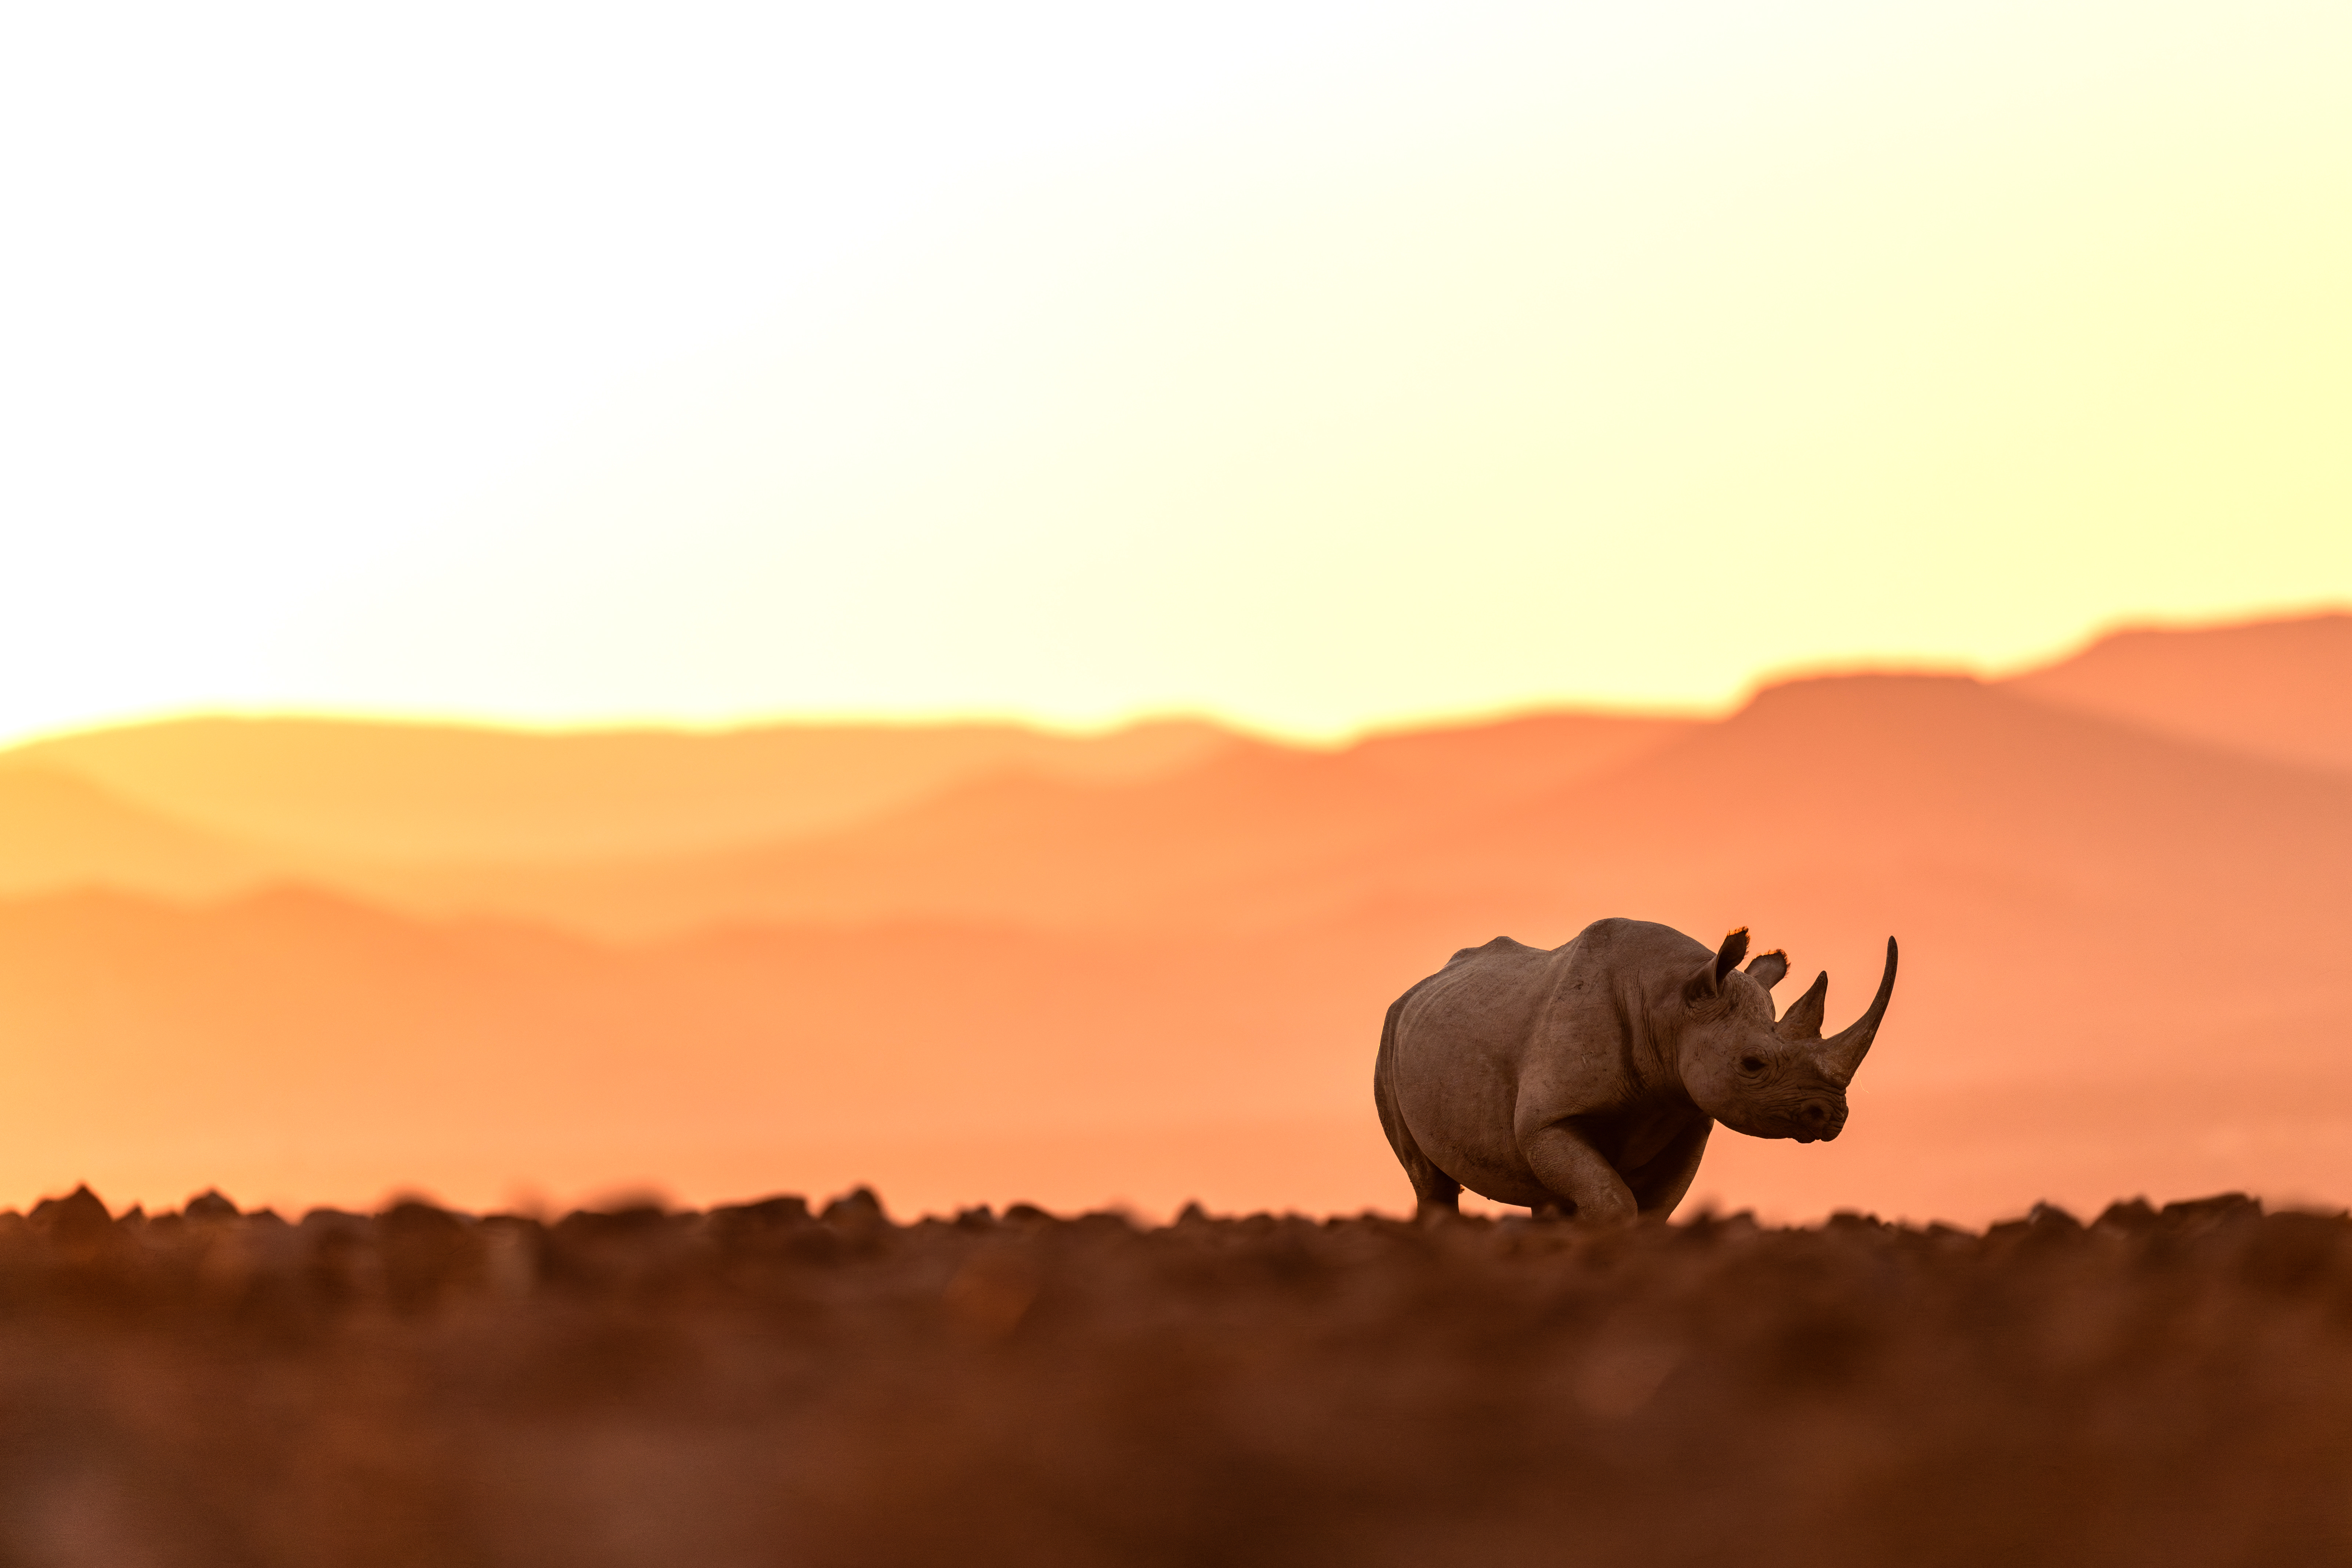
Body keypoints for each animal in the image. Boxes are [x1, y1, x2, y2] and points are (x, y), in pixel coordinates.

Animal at [1374, 919, 1897, 1222]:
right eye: (1752, 1064)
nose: (1830, 1115)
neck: (1672, 1004)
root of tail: (1417, 988)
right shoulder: (1549, 1118)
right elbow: (1613, 1200)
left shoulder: (1687, 1112)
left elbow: (1652, 1210)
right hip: (1389, 1037)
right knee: (1429, 1181)